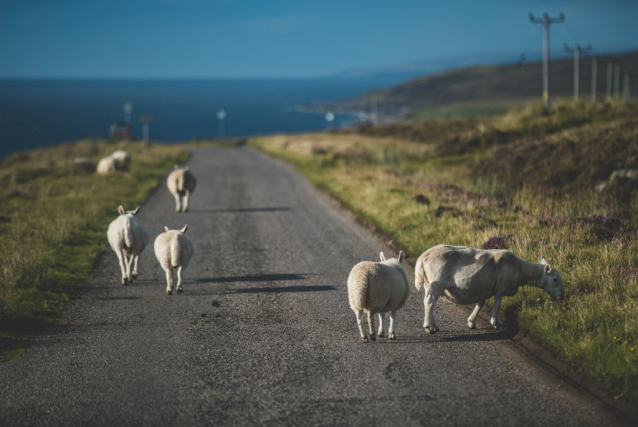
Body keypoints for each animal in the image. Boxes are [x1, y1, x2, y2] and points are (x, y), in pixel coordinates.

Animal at [418, 244, 568, 334]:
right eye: (555, 279)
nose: (561, 296)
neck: (521, 270)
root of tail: (424, 256)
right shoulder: (500, 288)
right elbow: (497, 305)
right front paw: (495, 323)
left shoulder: (485, 288)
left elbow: (480, 304)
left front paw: (471, 322)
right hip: (437, 282)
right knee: (430, 302)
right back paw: (428, 327)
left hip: (429, 284)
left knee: (428, 302)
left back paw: (433, 325)